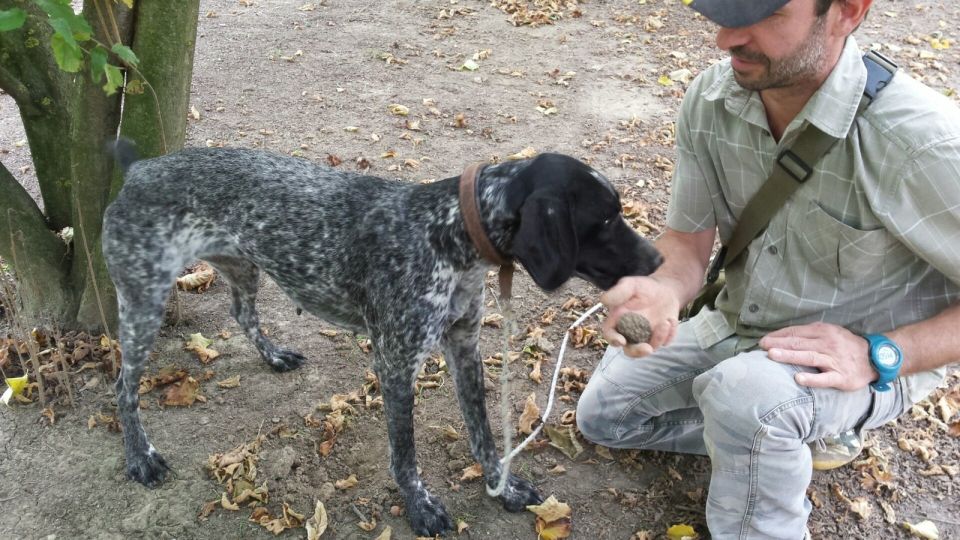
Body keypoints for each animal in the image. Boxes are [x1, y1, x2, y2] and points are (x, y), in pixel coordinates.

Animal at [101, 141, 664, 536]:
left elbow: (483, 433)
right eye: (606, 218)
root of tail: (139, 167)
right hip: (144, 301)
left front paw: (500, 486)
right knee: (123, 387)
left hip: (242, 268)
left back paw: (274, 356)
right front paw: (420, 506)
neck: (450, 233)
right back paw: (139, 457)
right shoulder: (395, 364)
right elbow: (405, 454)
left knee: (243, 315)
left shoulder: (465, 348)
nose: (660, 260)